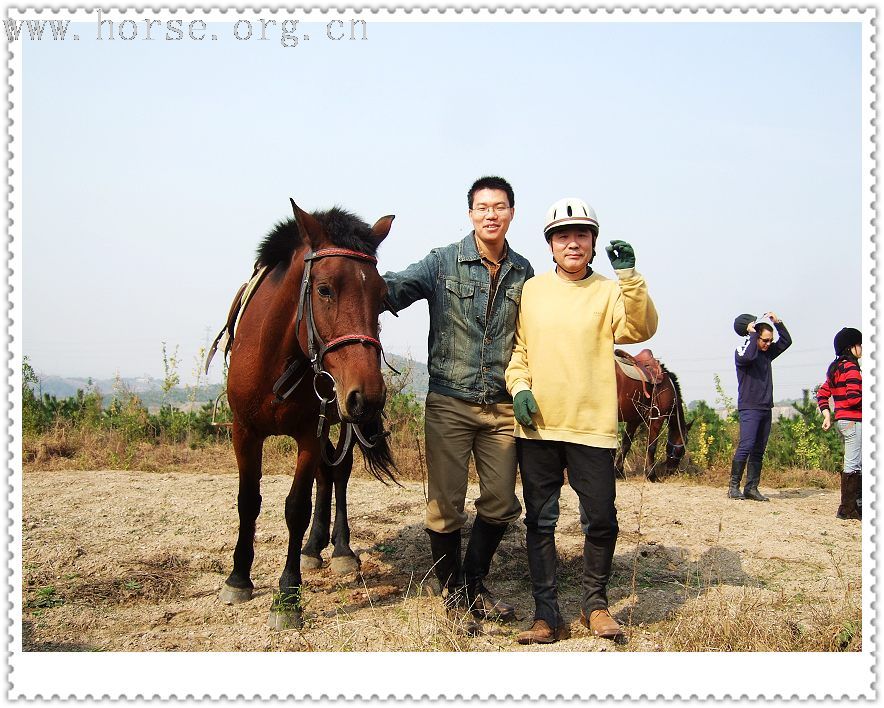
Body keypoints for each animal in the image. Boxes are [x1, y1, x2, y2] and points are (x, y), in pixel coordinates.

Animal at [214, 201, 394, 632]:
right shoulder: (244, 432)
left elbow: (296, 507)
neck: (274, 359)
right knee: (326, 477)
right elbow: (248, 501)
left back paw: (339, 549)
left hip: (339, 421)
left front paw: (288, 596)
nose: (369, 396)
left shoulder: (309, 434)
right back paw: (314, 548)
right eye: (324, 289)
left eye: (382, 298)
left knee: (338, 474)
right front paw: (238, 578)